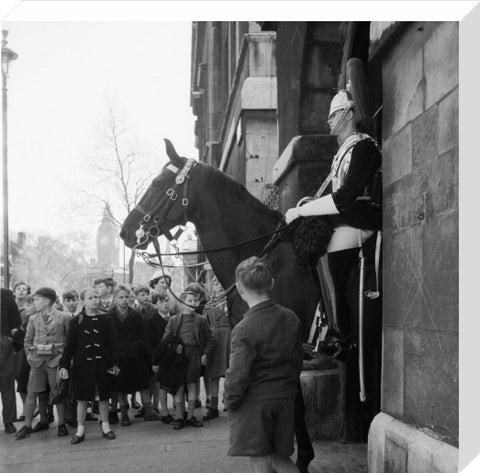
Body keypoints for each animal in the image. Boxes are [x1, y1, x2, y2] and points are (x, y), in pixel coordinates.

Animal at [122, 138, 320, 470]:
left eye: (159, 182)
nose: (125, 231)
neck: (267, 257)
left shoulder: (286, 348)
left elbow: (294, 403)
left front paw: (301, 456)